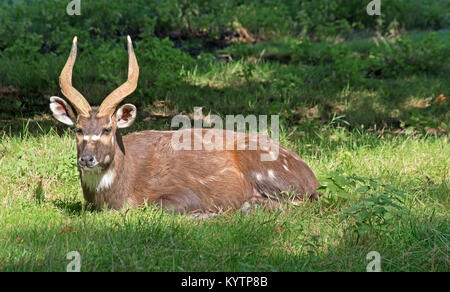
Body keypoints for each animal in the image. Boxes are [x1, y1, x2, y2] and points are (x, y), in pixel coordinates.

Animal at [50, 36, 320, 213]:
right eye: (78, 129)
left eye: (108, 128)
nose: (86, 159)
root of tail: (312, 177)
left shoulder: (182, 192)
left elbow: (160, 207)